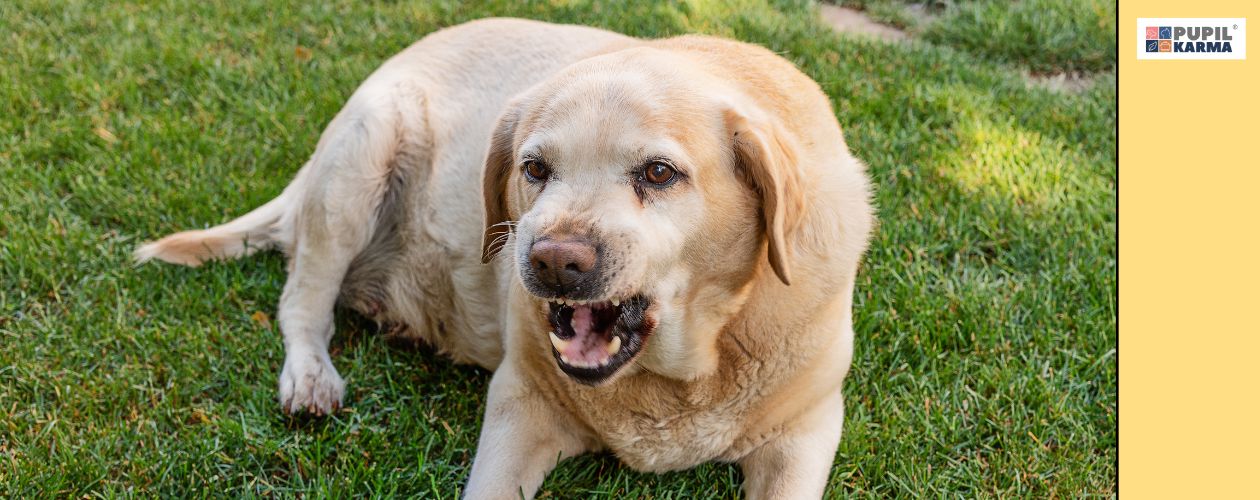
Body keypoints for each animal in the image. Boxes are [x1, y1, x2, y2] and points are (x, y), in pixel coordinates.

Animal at [135, 17, 866, 496]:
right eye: (535, 168)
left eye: (660, 174)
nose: (553, 261)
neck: (676, 377)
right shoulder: (521, 405)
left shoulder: (805, 433)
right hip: (362, 152)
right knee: (302, 300)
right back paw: (311, 376)